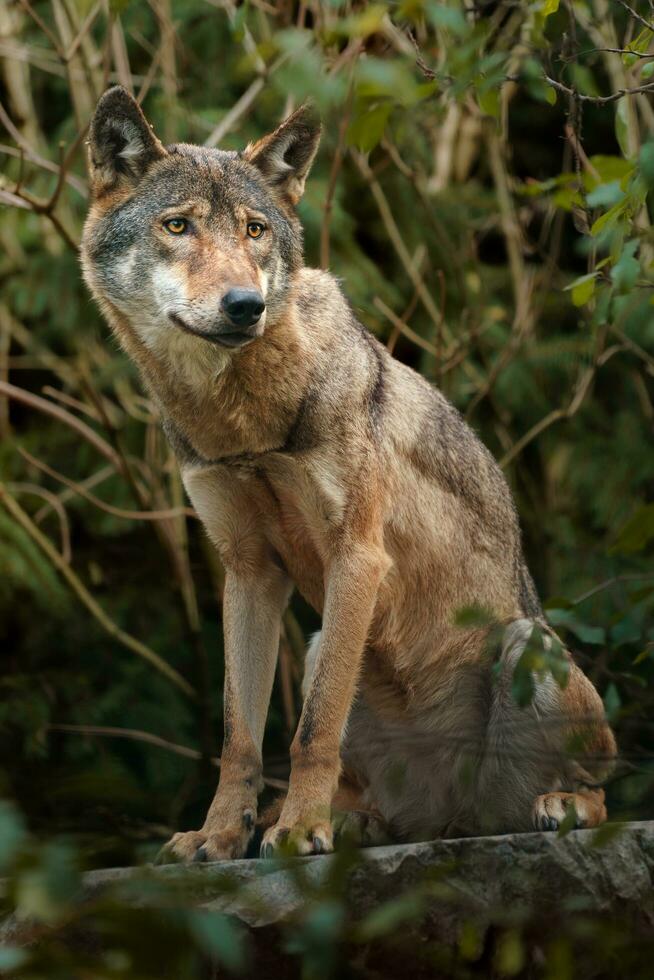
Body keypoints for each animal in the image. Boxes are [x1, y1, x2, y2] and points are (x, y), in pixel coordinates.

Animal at [79, 88, 616, 860]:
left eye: (254, 231)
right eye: (177, 226)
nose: (246, 305)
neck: (243, 423)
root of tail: (455, 818)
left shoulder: (356, 556)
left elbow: (312, 729)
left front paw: (300, 830)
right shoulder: (248, 571)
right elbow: (240, 737)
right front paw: (220, 836)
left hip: (530, 646)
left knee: (594, 788)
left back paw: (559, 804)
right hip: (312, 648)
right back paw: (357, 823)